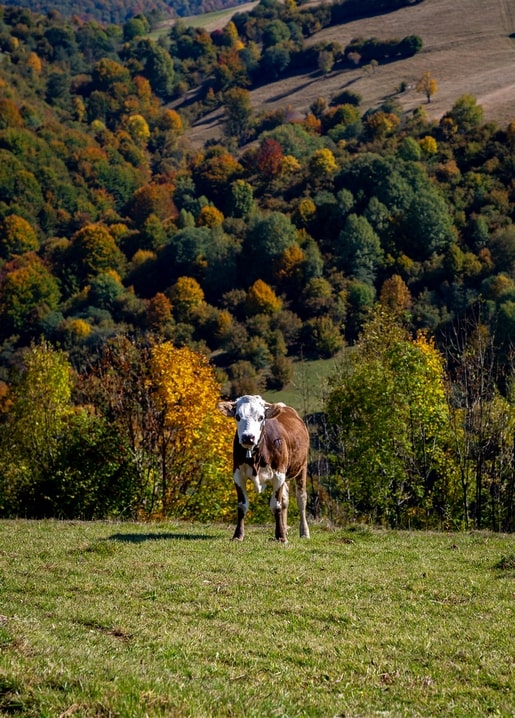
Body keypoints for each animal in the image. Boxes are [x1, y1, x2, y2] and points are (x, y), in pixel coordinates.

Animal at [218, 394, 310, 542]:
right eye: (237, 416)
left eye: (261, 417)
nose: (248, 437)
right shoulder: (238, 475)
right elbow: (242, 505)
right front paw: (238, 535)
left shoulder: (279, 475)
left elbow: (276, 505)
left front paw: (280, 536)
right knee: (285, 499)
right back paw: (285, 528)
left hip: (302, 466)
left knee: (301, 498)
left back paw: (304, 532)